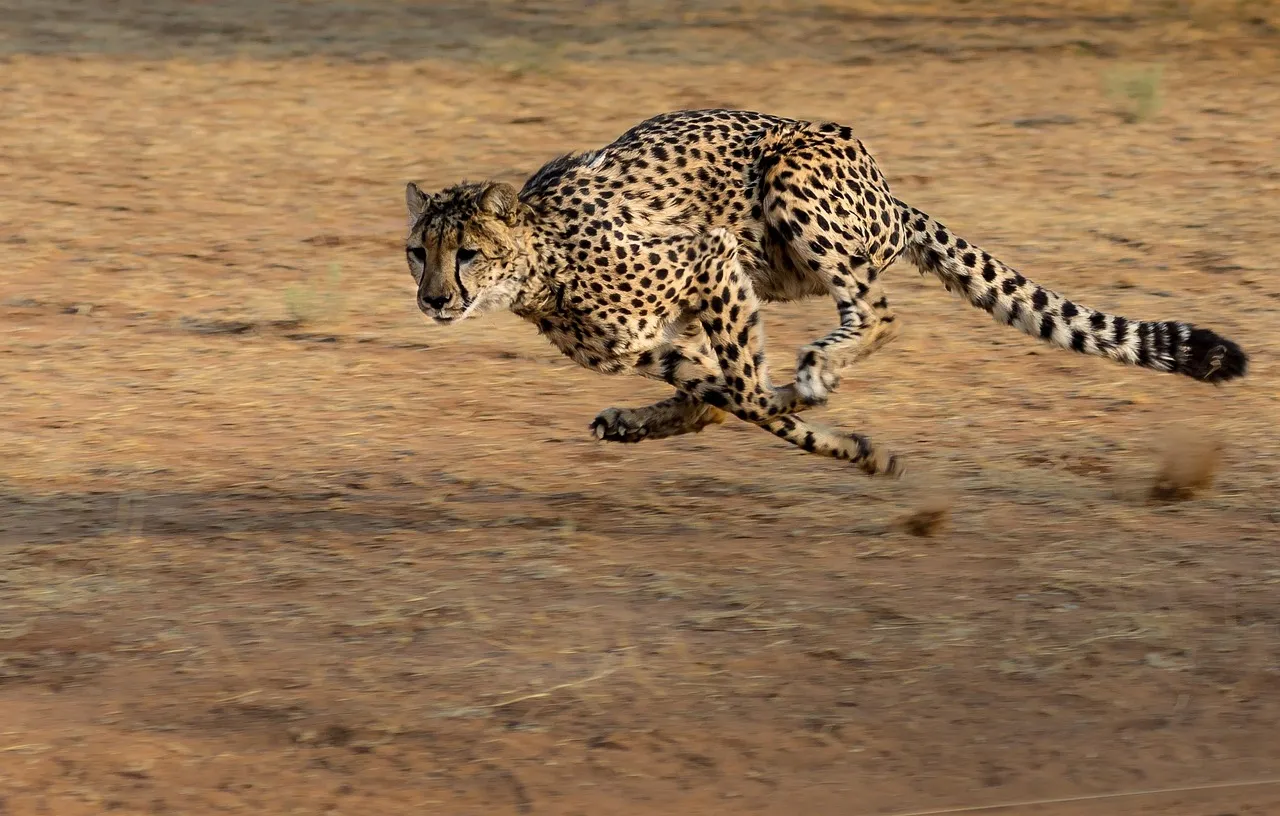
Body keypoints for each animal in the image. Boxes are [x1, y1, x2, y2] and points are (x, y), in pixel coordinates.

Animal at [403, 109, 1247, 478]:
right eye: (418, 253)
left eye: (467, 253)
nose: (434, 300)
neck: (540, 266)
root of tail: (888, 190)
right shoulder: (656, 342)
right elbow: (727, 398)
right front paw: (845, 443)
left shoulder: (708, 256)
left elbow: (748, 394)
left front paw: (845, 439)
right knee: (724, 393)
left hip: (789, 183)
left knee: (877, 311)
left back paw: (816, 370)